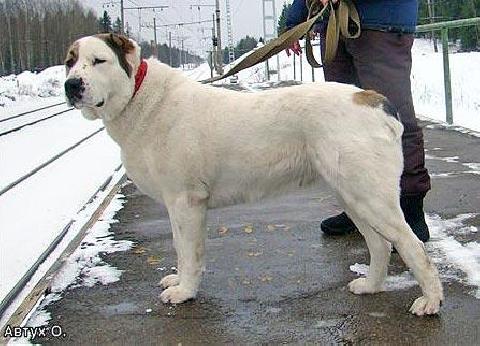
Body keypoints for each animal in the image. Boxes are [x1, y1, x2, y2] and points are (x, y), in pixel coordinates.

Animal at [65, 33, 444, 314]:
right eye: (70, 61)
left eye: (99, 61)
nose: (72, 85)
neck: (139, 95)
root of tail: (374, 99)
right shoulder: (182, 205)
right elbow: (183, 250)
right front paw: (179, 282)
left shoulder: (185, 201)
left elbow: (187, 251)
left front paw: (184, 291)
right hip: (352, 195)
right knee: (380, 243)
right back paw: (371, 286)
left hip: (369, 195)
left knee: (411, 245)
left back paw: (431, 301)